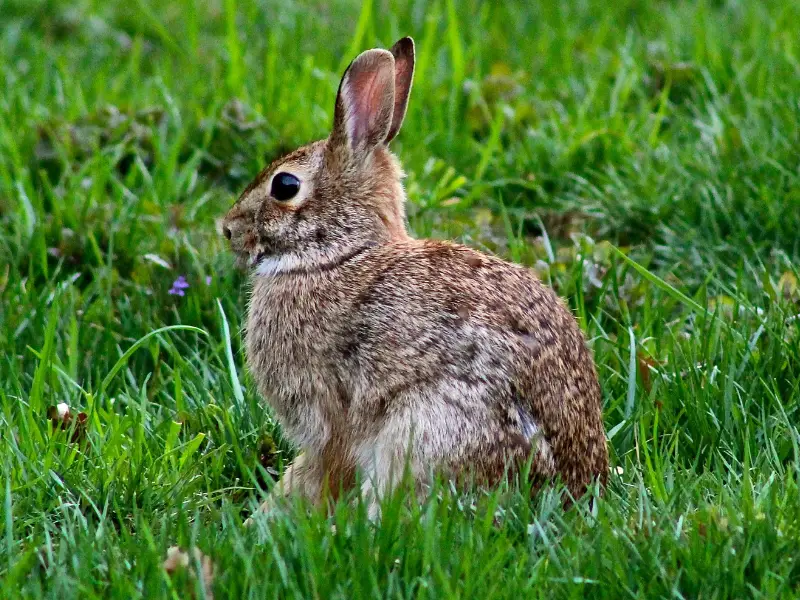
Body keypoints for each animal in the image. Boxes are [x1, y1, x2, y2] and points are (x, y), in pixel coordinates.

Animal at [222, 36, 608, 520]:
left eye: (285, 186)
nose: (227, 228)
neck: (338, 256)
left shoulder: (328, 416)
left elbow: (322, 469)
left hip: (424, 430)